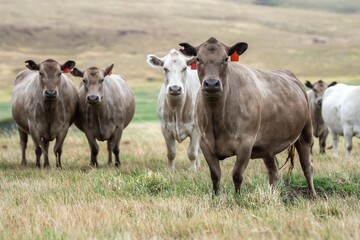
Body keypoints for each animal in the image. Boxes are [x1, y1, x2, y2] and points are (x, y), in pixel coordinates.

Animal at [179, 36, 316, 196]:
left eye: (226, 59)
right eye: (199, 59)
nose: (211, 83)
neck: (217, 117)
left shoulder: (246, 143)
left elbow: (237, 174)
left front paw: (238, 197)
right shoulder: (205, 143)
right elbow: (215, 175)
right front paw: (215, 197)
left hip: (305, 132)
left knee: (307, 166)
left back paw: (313, 194)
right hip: (268, 146)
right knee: (273, 171)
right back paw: (271, 195)